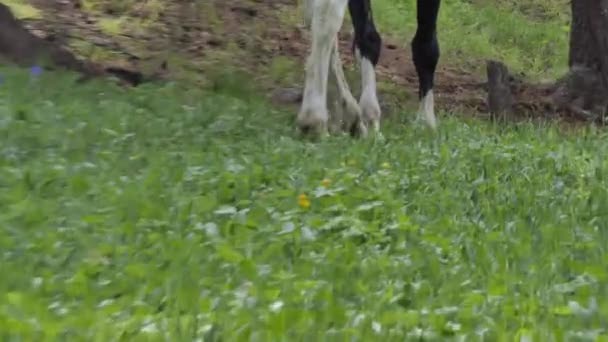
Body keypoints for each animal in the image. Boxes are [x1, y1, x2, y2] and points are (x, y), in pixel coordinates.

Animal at [296, 0, 440, 136]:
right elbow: (426, 47)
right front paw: (426, 122)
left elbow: (367, 38)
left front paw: (369, 116)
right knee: (326, 11)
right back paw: (315, 118)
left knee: (314, 17)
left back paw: (350, 113)